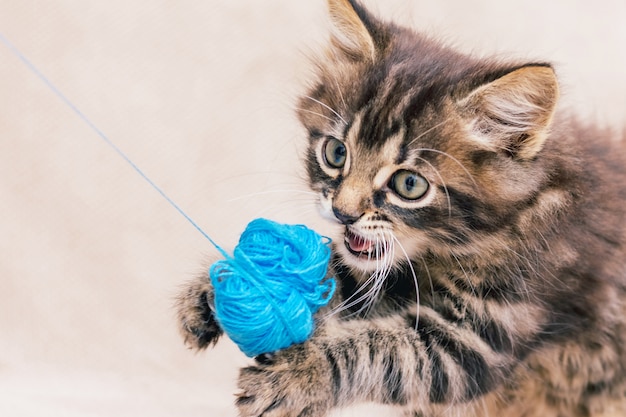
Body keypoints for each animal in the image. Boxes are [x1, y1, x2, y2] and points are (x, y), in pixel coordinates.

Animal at [174, 0, 624, 416]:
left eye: (409, 185)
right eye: (336, 153)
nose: (343, 212)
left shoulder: (484, 335)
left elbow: (383, 352)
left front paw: (301, 374)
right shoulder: (389, 275)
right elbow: (341, 277)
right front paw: (223, 282)